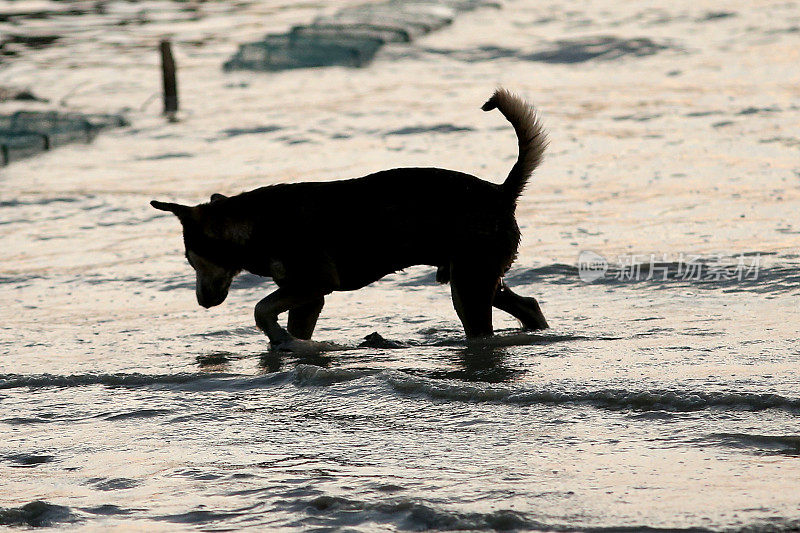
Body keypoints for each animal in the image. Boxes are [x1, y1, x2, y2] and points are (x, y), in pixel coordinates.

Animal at [150, 88, 552, 344]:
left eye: (192, 261)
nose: (201, 301)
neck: (254, 225)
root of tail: (501, 191)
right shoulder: (307, 297)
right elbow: (285, 319)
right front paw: (290, 347)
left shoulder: (313, 283)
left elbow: (261, 309)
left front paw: (280, 339)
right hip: (473, 275)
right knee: (527, 305)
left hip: (469, 282)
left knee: (485, 324)